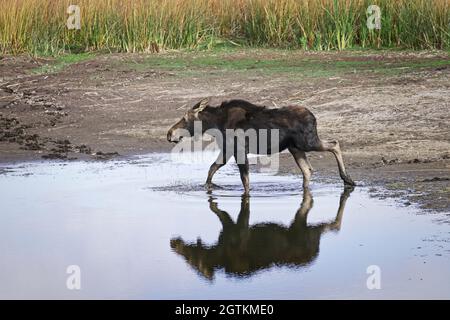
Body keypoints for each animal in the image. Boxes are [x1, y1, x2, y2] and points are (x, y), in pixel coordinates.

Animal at [167, 97, 356, 194]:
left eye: (185, 118)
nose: (169, 134)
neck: (215, 124)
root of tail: (314, 117)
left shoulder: (239, 150)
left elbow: (245, 179)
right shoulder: (228, 150)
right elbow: (212, 168)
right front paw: (207, 187)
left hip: (307, 142)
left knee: (334, 144)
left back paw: (347, 179)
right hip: (295, 148)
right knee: (308, 170)